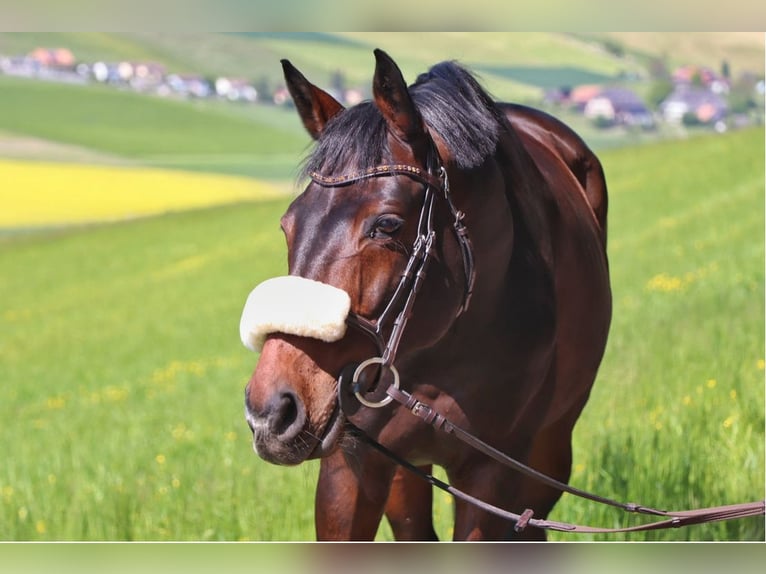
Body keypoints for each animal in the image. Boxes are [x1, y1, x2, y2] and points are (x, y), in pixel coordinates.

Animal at [240, 49, 612, 541]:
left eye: (387, 225)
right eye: (289, 224)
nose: (272, 412)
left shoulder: (491, 477)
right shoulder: (352, 465)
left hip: (548, 454)